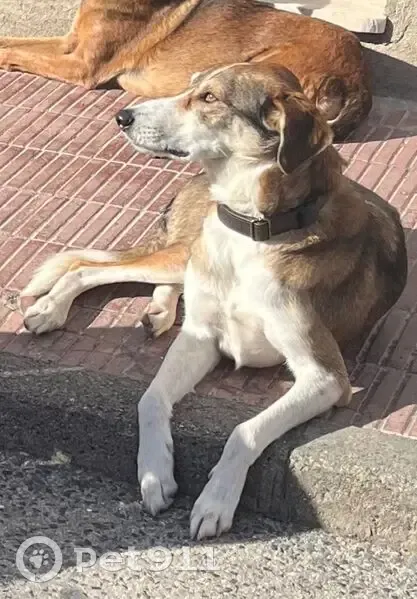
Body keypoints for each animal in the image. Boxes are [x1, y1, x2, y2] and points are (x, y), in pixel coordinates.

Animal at [0, 0, 371, 139]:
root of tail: (359, 84)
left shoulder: (80, 66)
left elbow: (15, 51)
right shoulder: (69, 44)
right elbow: (13, 41)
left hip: (251, 66)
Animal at [22, 63, 406, 538]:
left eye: (209, 98)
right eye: (191, 85)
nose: (122, 116)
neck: (253, 228)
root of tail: (196, 182)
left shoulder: (326, 377)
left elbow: (245, 429)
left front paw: (215, 501)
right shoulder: (201, 338)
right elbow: (149, 399)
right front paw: (154, 473)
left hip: (181, 260)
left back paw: (154, 311)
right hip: (180, 254)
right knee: (89, 266)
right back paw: (52, 309)